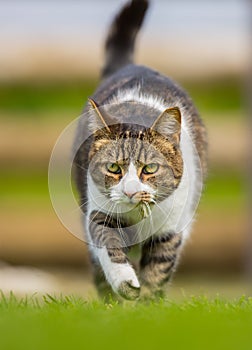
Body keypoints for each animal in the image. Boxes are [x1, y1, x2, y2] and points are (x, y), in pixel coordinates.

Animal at [72, 0, 207, 300]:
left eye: (150, 168)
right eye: (113, 168)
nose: (131, 191)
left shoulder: (170, 230)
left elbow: (157, 273)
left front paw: (147, 307)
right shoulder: (99, 213)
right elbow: (109, 247)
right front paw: (125, 284)